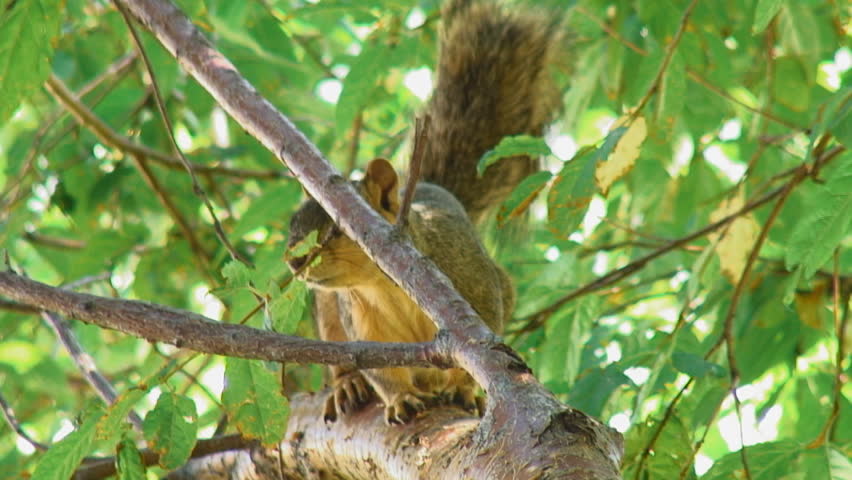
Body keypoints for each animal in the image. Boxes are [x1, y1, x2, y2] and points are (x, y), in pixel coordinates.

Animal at [287, 0, 560, 424]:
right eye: (291, 226)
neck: (383, 286)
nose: (293, 262)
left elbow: (484, 345)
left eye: (337, 229)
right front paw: (399, 398)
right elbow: (379, 370)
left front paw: (465, 389)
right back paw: (348, 384)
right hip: (329, 313)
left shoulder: (473, 286)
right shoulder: (361, 326)